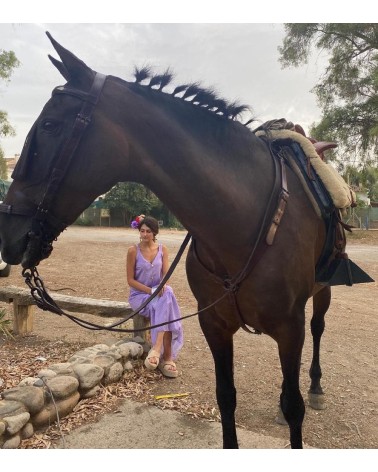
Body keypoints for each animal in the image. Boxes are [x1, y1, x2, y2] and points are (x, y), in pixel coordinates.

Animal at [0, 32, 370, 446]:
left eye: (50, 124)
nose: (8, 233)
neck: (241, 222)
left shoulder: (289, 327)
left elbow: (294, 408)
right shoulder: (215, 325)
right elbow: (226, 397)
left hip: (322, 292)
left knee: (318, 328)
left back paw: (317, 387)